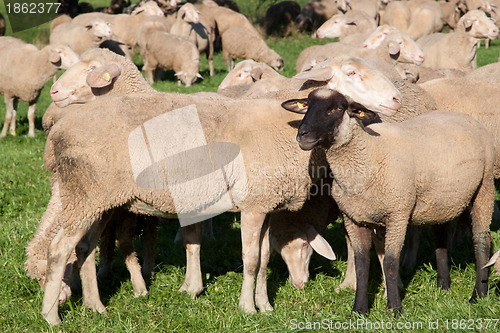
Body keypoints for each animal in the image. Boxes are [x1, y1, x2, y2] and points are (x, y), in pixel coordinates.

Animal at [284, 87, 494, 314]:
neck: (368, 155)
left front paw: (394, 308)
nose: (302, 135)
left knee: (482, 240)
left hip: (485, 186)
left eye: (339, 108)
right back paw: (443, 285)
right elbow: (361, 264)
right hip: (441, 201)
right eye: (306, 105)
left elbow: (391, 263)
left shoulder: (397, 215)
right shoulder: (353, 218)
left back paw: (478, 295)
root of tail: (462, 116)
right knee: (440, 238)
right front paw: (359, 310)